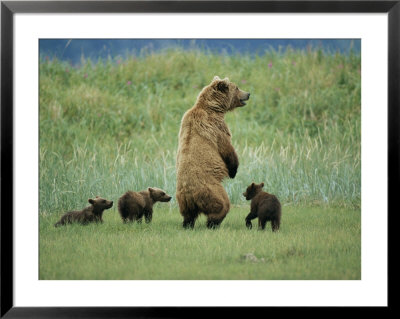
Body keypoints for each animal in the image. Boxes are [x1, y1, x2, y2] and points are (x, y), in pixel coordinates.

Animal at [176, 76, 248, 229]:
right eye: (237, 87)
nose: (248, 94)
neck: (214, 108)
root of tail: (189, 194)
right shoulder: (216, 127)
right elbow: (227, 148)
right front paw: (233, 171)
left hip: (183, 201)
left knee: (188, 215)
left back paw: (187, 224)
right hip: (211, 190)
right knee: (222, 204)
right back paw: (213, 223)